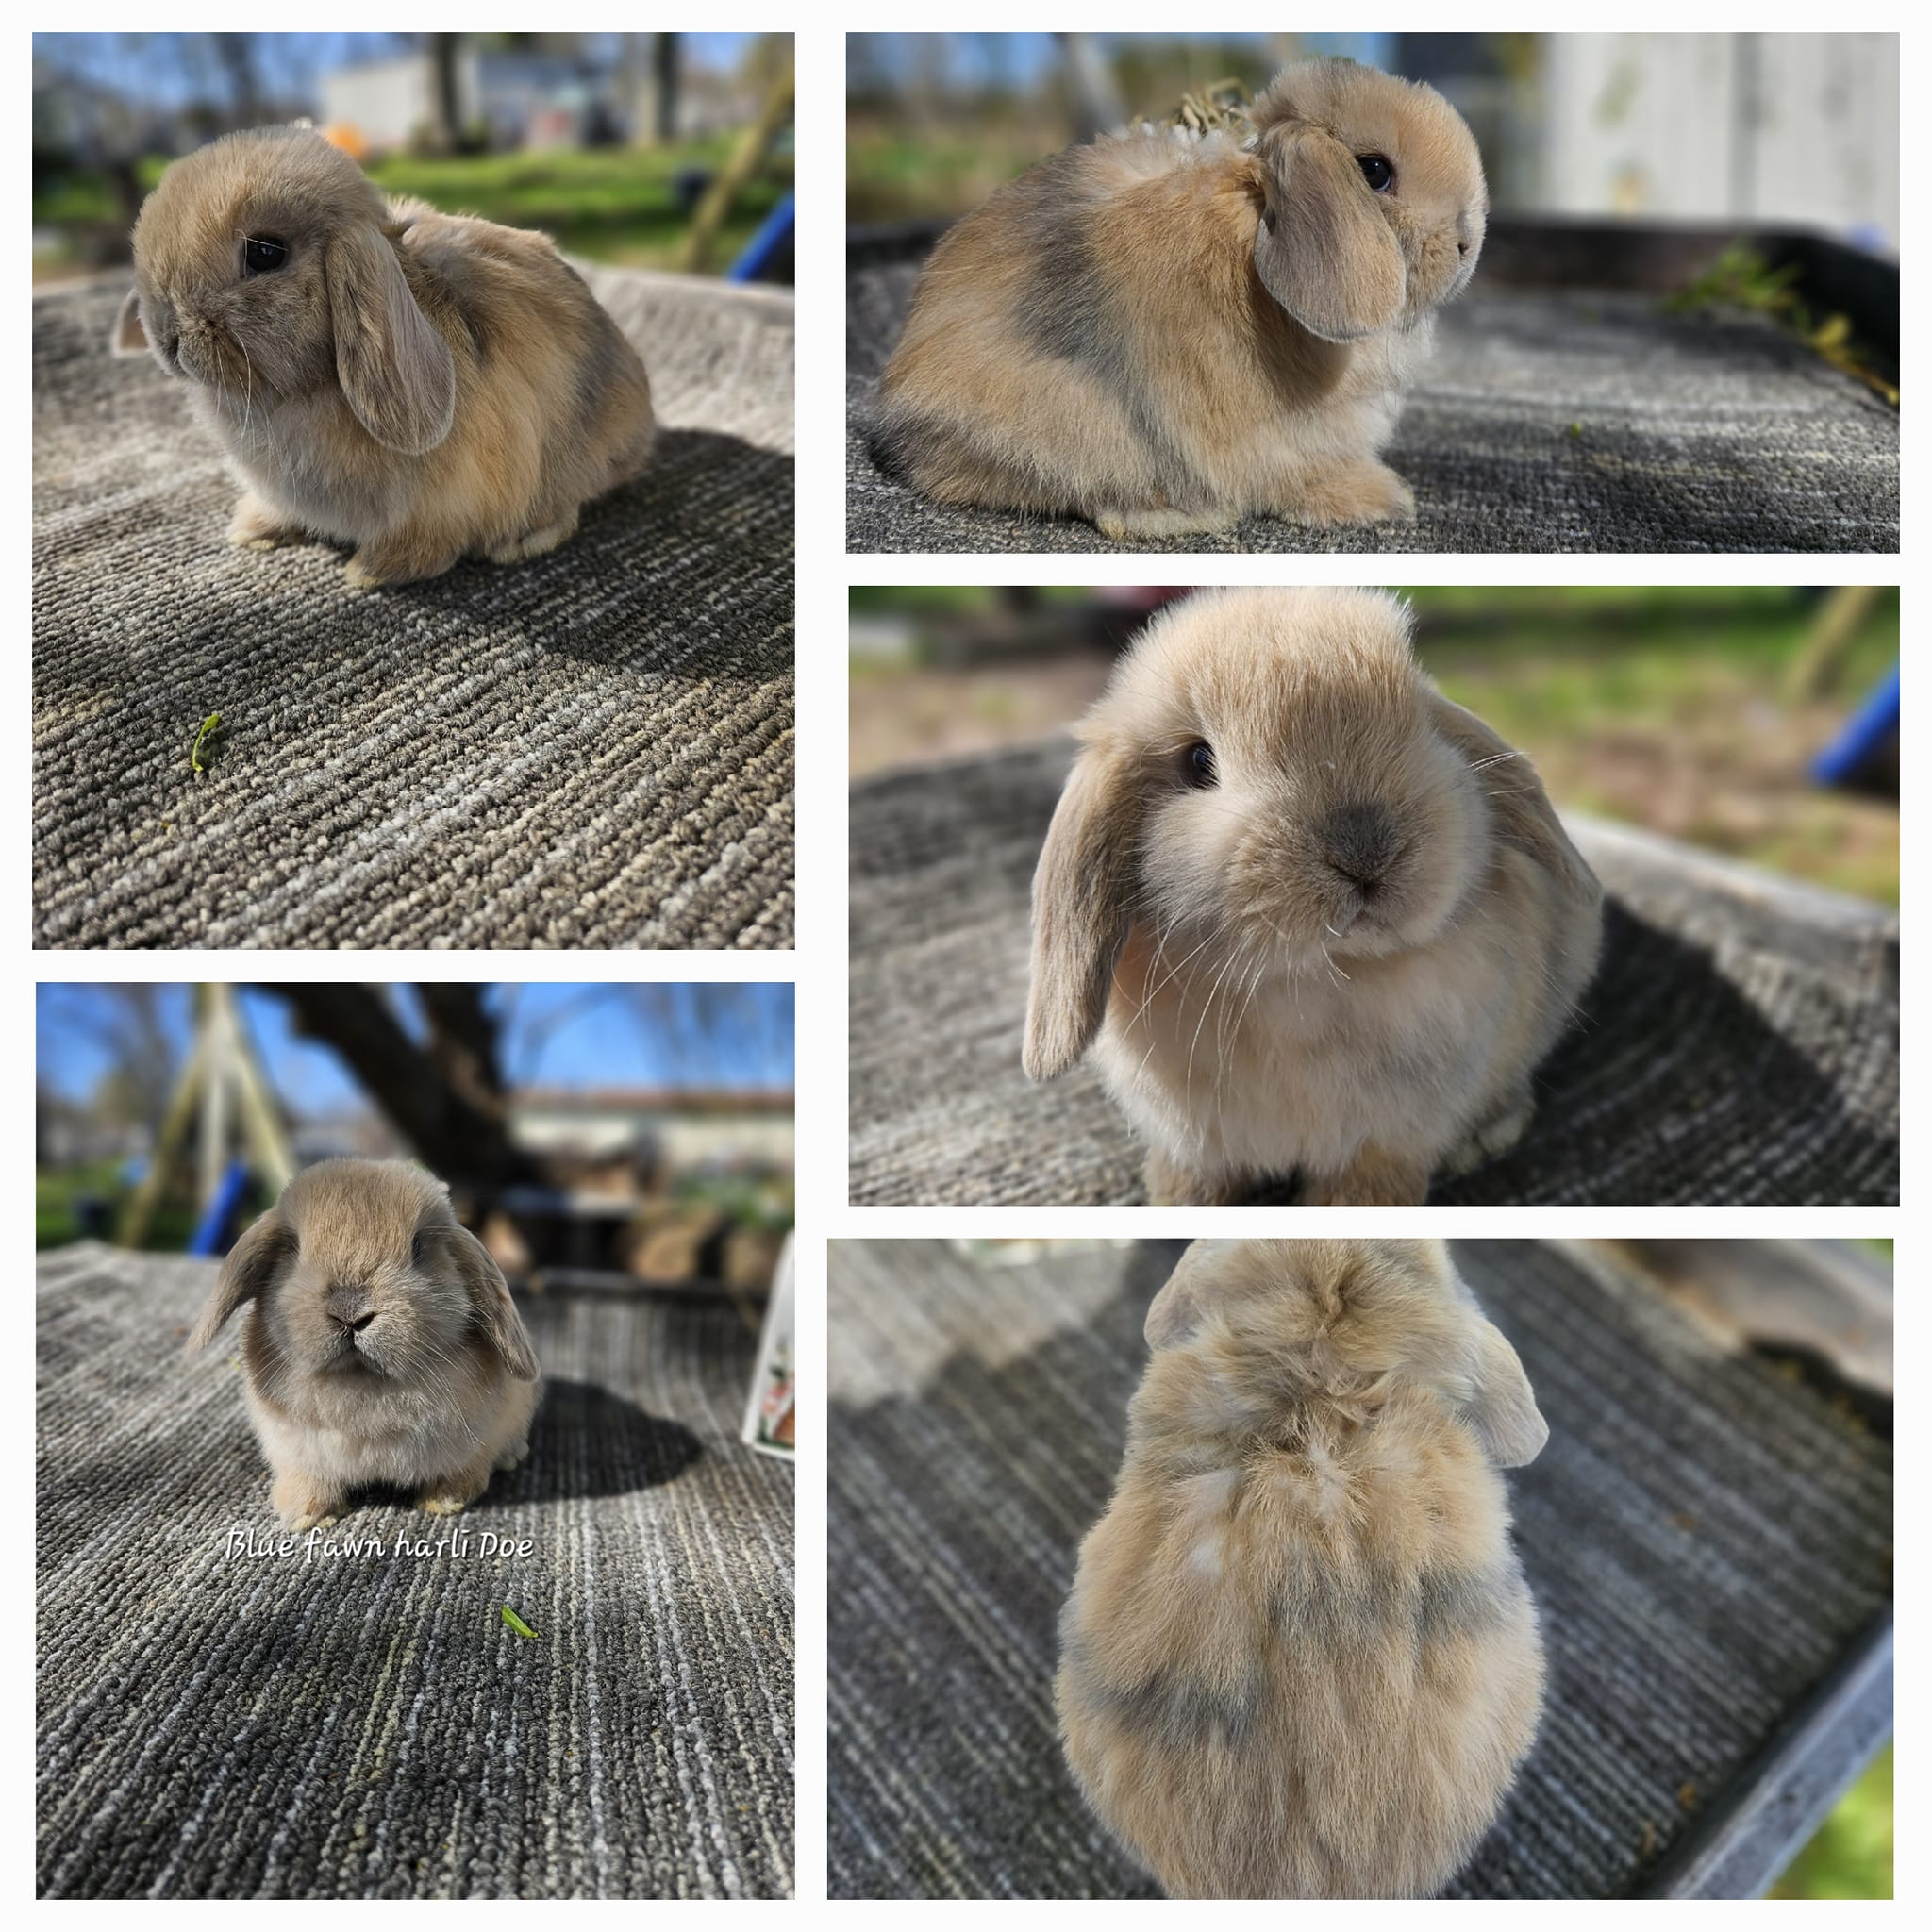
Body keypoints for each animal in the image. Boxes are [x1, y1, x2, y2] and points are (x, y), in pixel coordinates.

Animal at [110, 124, 656, 586]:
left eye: (265, 252)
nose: (167, 337)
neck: (301, 389)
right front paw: (252, 529)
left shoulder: (439, 505)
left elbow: (425, 545)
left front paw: (371, 571)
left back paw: (520, 541)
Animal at [186, 1159, 541, 1531]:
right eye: (293, 1247)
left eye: (417, 1246)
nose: (350, 1312)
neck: (362, 1382)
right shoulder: (296, 1452)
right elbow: (309, 1479)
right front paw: (307, 1515)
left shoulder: (473, 1446)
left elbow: (462, 1471)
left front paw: (446, 1500)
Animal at [871, 59, 1485, 540]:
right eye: (1375, 172)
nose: (1465, 244)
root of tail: (903, 411)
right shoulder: (1273, 435)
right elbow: (1295, 474)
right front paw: (1380, 498)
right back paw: (1178, 516)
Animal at [1022, 587, 1602, 1205]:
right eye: (1199, 762)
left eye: (1421, 724)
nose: (1364, 850)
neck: (1307, 980)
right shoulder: (1199, 1145)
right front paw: (1175, 1200)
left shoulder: (1388, 1140)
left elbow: (1366, 1190)